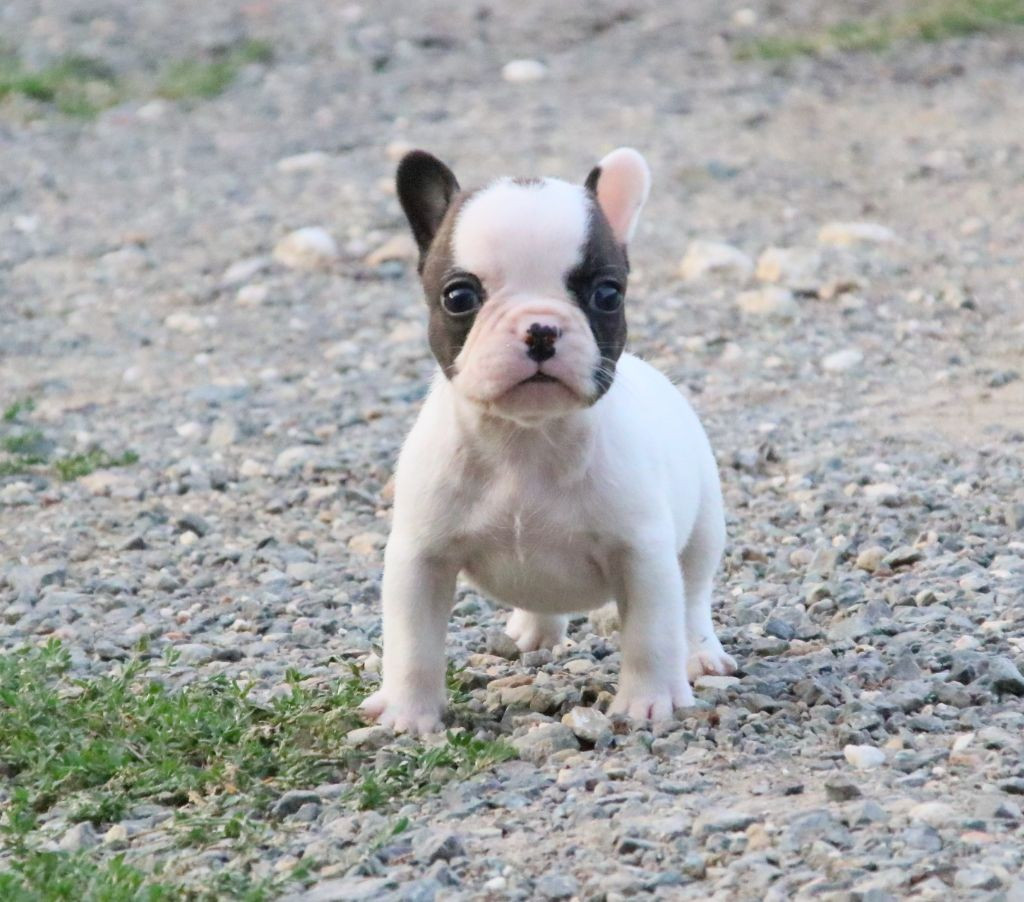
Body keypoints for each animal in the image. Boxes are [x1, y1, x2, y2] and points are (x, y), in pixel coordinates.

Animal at [360, 147, 737, 737]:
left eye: (607, 293)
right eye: (459, 296)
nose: (540, 328)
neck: (526, 439)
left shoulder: (642, 554)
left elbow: (651, 635)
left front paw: (648, 702)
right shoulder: (420, 558)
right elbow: (412, 644)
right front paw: (409, 713)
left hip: (703, 528)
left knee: (693, 595)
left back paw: (699, 653)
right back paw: (531, 631)